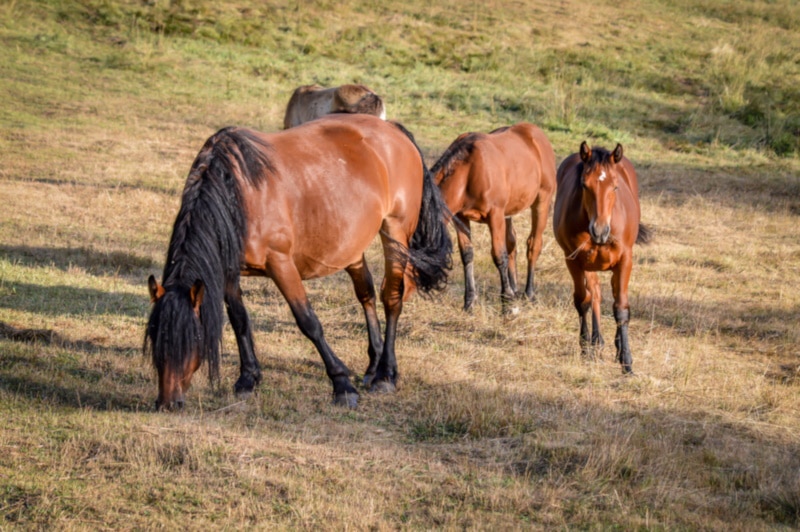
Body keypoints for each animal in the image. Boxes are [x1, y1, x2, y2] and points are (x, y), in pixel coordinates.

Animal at [145, 114, 454, 410]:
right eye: (155, 339)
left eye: (191, 340)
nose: (168, 403)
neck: (236, 195)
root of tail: (393, 130)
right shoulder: (229, 271)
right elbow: (240, 320)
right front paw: (248, 378)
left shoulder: (281, 264)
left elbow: (308, 322)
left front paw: (342, 385)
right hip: (352, 245)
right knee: (365, 293)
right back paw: (373, 365)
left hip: (395, 232)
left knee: (391, 298)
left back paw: (385, 375)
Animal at [432, 121, 556, 312]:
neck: (469, 170)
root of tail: (537, 134)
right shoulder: (460, 218)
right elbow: (467, 255)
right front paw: (469, 302)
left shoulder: (495, 216)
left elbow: (499, 256)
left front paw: (507, 303)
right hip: (508, 213)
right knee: (512, 244)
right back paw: (515, 289)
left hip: (542, 201)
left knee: (533, 244)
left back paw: (529, 293)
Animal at [552, 141, 652, 374]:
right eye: (584, 185)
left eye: (615, 186)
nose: (600, 231)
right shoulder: (574, 260)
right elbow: (583, 301)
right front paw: (585, 348)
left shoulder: (625, 260)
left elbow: (621, 307)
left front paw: (626, 361)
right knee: (594, 294)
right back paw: (597, 341)